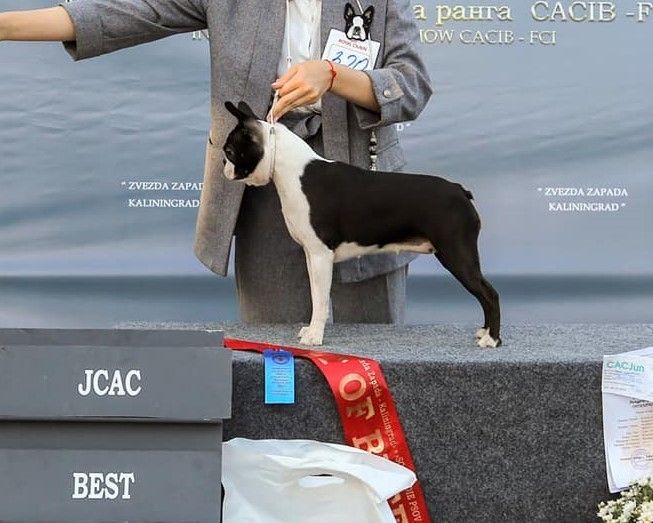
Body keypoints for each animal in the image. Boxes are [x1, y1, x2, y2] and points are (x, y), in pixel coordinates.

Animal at [222, 101, 502, 348]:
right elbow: (315, 296)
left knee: (489, 293)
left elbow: (320, 301)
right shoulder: (312, 255)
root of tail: (460, 190)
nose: (224, 166)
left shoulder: (321, 255)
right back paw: (485, 332)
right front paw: (310, 330)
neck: (292, 170)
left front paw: (315, 337)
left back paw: (492, 339)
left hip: (456, 253)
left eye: (229, 152)